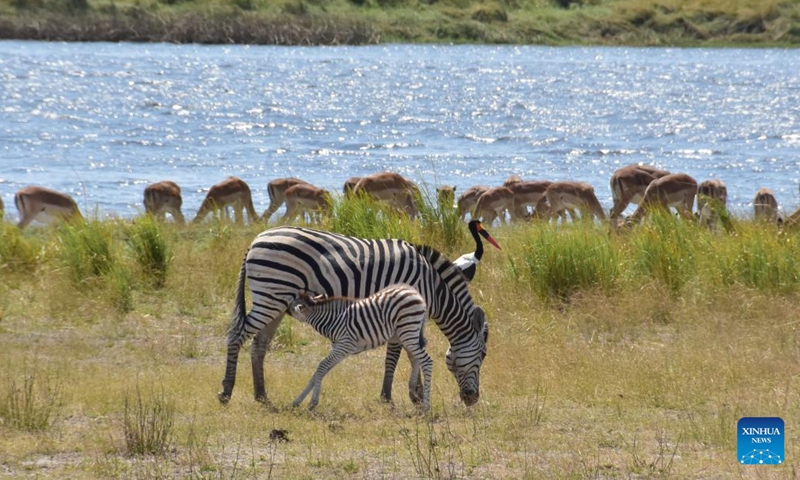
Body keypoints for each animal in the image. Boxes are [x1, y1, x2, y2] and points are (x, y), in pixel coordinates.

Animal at [288, 284, 433, 411]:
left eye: (292, 308)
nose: (285, 310)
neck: (332, 321)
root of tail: (415, 293)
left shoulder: (344, 346)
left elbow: (321, 367)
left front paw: (312, 403)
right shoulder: (339, 349)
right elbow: (319, 372)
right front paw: (297, 402)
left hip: (407, 329)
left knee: (427, 361)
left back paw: (426, 406)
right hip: (406, 333)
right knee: (416, 357)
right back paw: (415, 394)